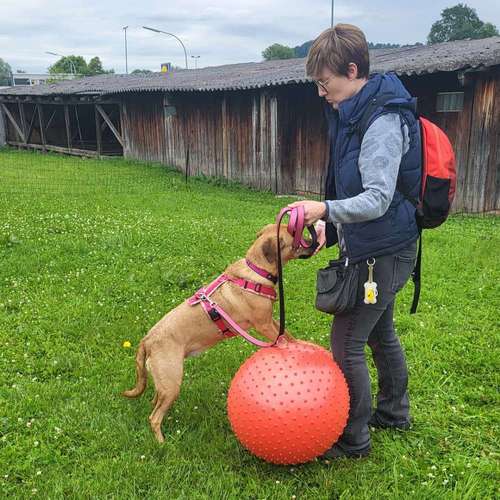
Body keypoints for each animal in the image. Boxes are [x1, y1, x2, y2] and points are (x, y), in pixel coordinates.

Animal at [123, 225, 314, 444]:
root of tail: (148, 340)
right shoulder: (263, 325)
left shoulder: (271, 320)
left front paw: (302, 345)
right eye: (297, 238)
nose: (316, 242)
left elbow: (288, 335)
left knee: (154, 403)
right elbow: (281, 340)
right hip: (172, 383)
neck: (256, 270)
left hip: (163, 383)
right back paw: (162, 443)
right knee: (154, 417)